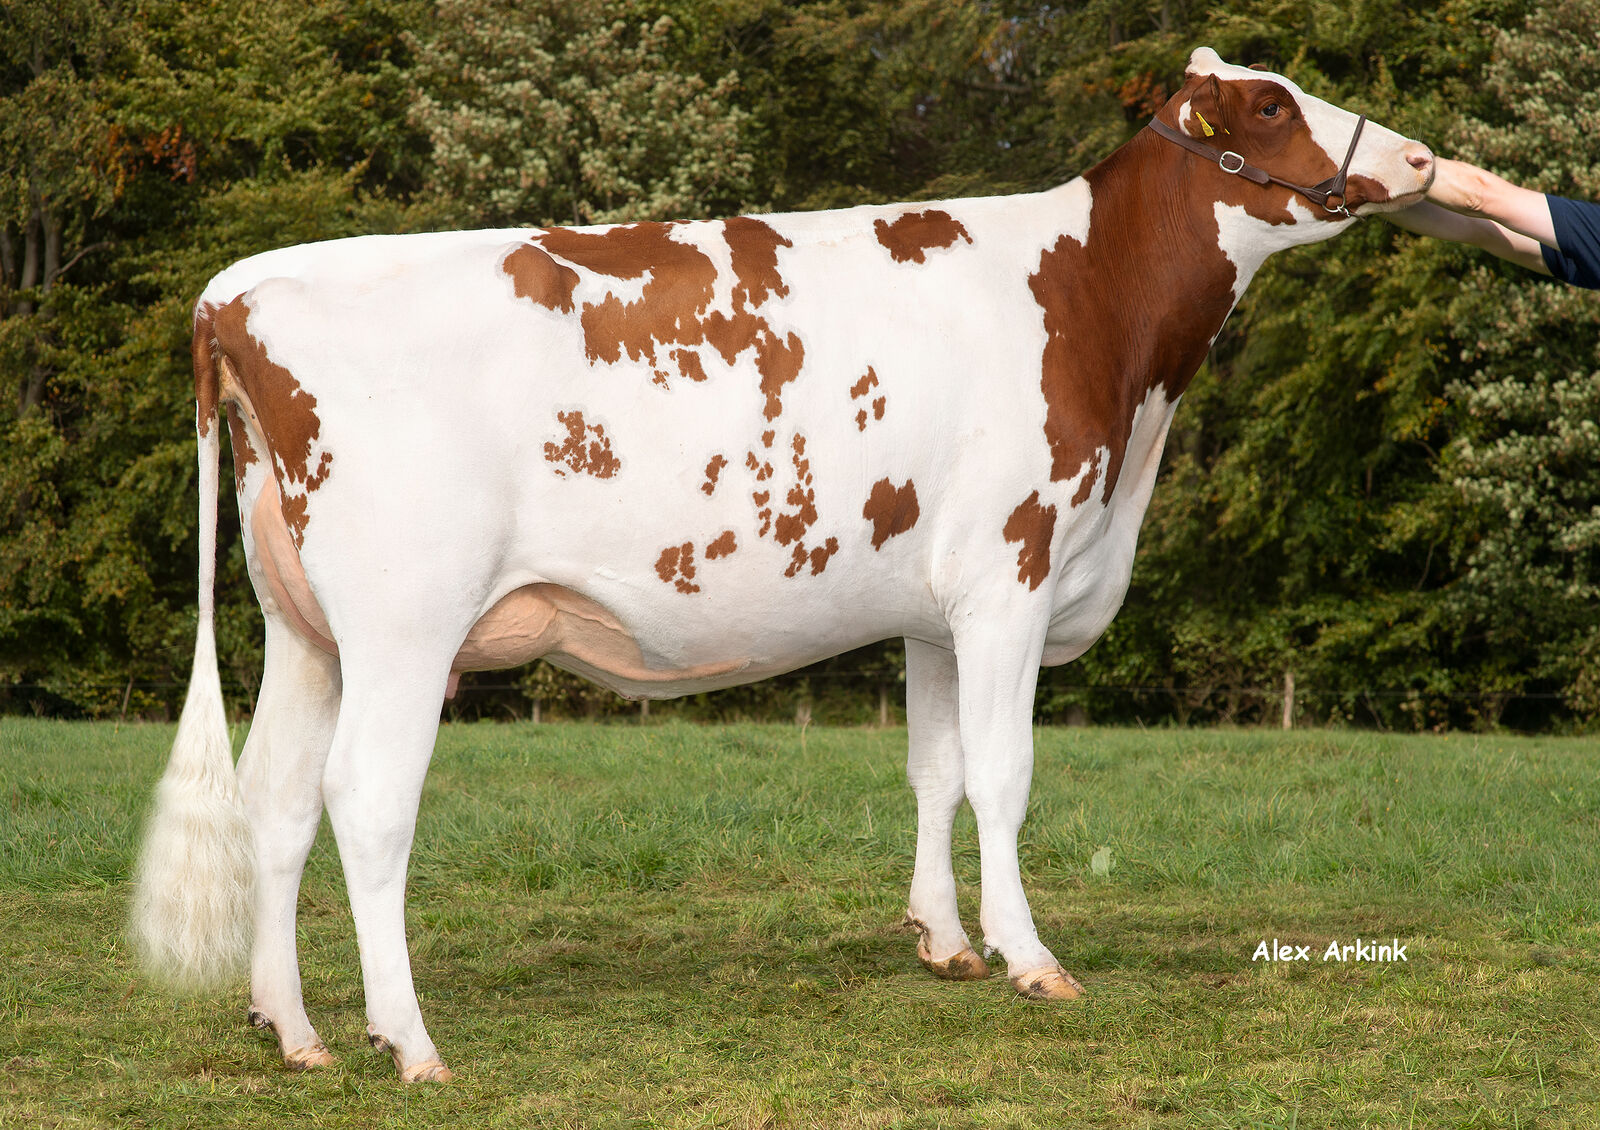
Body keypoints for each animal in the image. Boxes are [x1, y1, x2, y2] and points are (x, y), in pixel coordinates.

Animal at [134, 48, 1440, 1075]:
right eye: (1269, 103)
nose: (1422, 158)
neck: (1094, 311)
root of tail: (237, 288)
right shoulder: (1010, 571)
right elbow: (1003, 773)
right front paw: (1030, 956)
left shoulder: (932, 607)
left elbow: (935, 769)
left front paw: (945, 940)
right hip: (404, 624)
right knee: (364, 800)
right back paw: (405, 1039)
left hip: (302, 628)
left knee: (277, 797)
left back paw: (290, 1025)